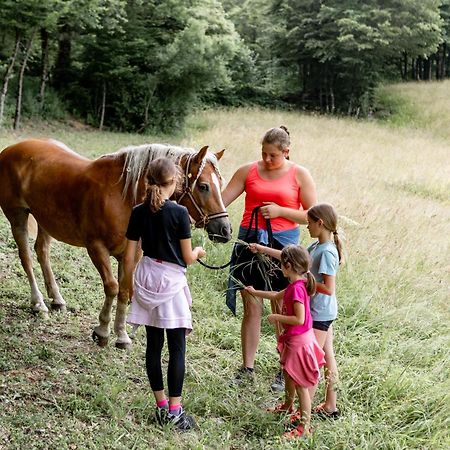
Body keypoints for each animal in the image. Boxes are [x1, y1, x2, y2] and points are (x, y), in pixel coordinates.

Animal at [0, 139, 232, 350]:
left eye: (220, 185)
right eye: (203, 186)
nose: (225, 230)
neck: (122, 196)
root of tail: (10, 149)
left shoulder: (130, 254)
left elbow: (125, 290)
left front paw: (121, 335)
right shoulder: (96, 248)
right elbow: (112, 287)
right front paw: (102, 331)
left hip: (45, 221)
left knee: (42, 252)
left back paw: (57, 300)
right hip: (17, 217)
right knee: (26, 258)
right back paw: (38, 304)